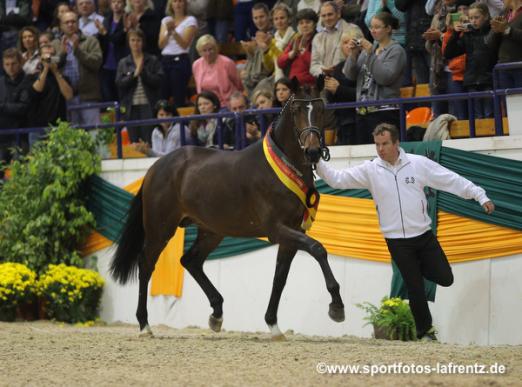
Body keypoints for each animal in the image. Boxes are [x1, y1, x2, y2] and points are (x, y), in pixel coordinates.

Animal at [110, 89, 342, 338]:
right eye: (297, 110)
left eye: (320, 110)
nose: (313, 151)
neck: (281, 168)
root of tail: (156, 167)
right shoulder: (278, 229)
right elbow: (317, 249)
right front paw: (337, 307)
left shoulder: (292, 232)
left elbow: (279, 278)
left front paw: (273, 325)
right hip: (160, 228)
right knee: (146, 265)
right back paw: (144, 325)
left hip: (211, 231)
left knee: (190, 260)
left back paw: (216, 315)